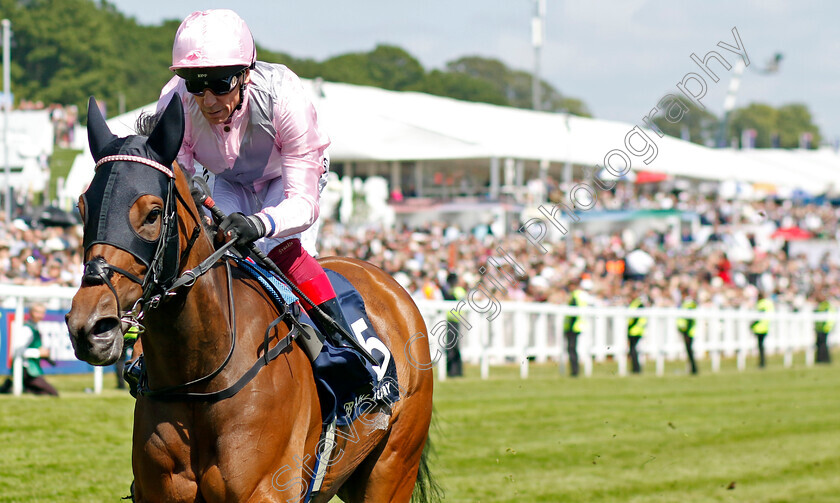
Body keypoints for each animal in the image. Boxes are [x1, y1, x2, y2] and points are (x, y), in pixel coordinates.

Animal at [65, 96, 436, 502]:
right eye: (83, 208)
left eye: (152, 213)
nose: (90, 327)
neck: (198, 380)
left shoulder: (265, 490)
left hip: (392, 466)